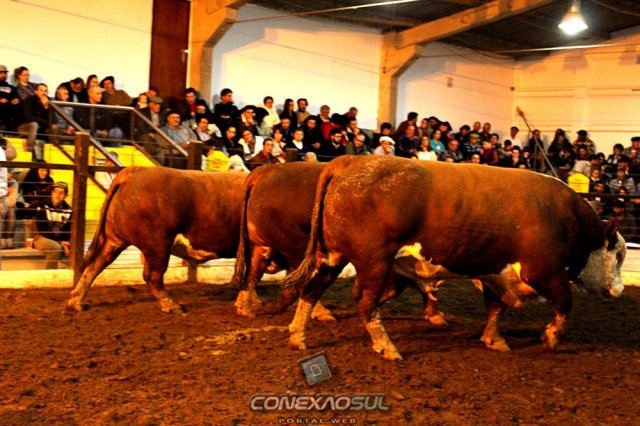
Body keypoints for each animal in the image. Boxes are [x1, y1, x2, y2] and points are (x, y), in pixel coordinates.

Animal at [230, 162, 445, 325]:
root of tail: (261, 172)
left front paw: (434, 313)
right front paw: (434, 314)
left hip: (265, 244)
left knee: (254, 273)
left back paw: (245, 307)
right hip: (294, 247)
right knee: (295, 281)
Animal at [282, 156, 626, 360]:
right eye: (620, 254)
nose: (620, 290)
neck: (567, 219)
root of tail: (351, 160)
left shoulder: (495, 272)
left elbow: (495, 308)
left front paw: (493, 339)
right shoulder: (543, 271)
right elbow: (565, 301)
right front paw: (551, 337)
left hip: (332, 256)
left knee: (312, 289)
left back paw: (298, 336)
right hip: (373, 260)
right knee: (365, 300)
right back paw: (387, 346)